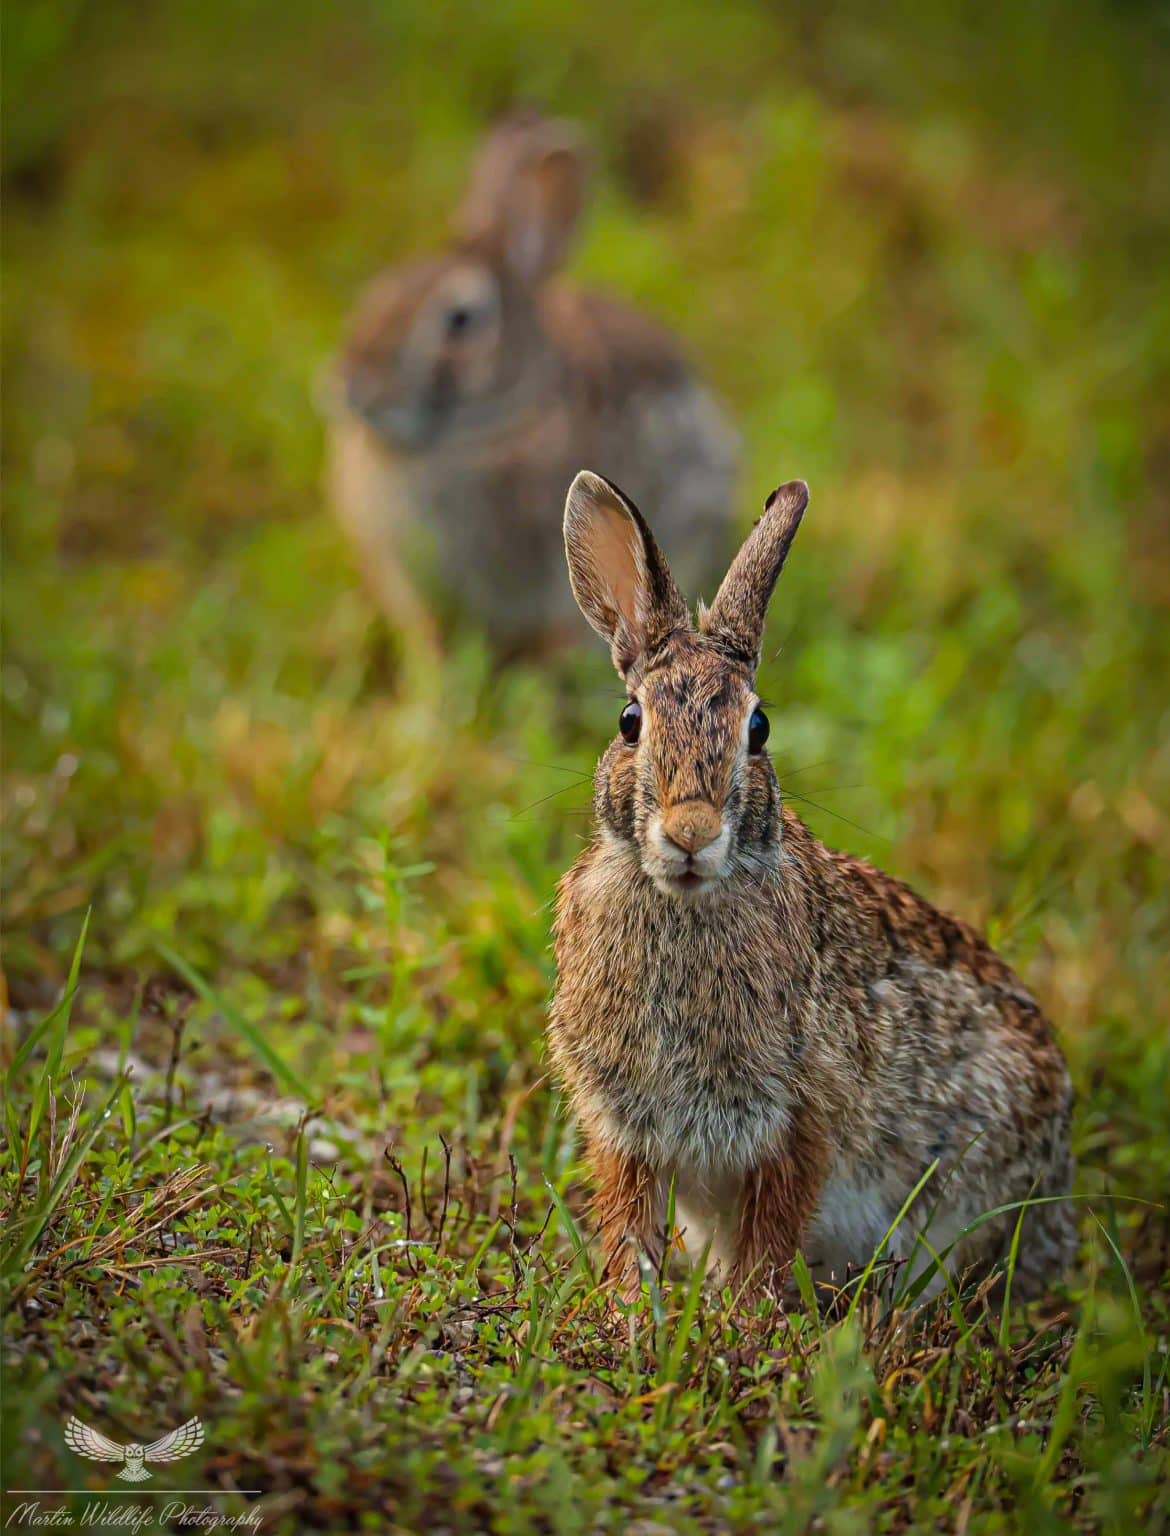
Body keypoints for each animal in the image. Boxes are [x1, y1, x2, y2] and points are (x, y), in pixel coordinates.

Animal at [549, 470, 1074, 1308]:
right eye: (630, 720)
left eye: (758, 730)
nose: (691, 832)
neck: (686, 900)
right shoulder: (624, 1121)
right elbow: (631, 1218)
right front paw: (633, 1310)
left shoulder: (799, 1114)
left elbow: (772, 1229)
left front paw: (741, 1319)